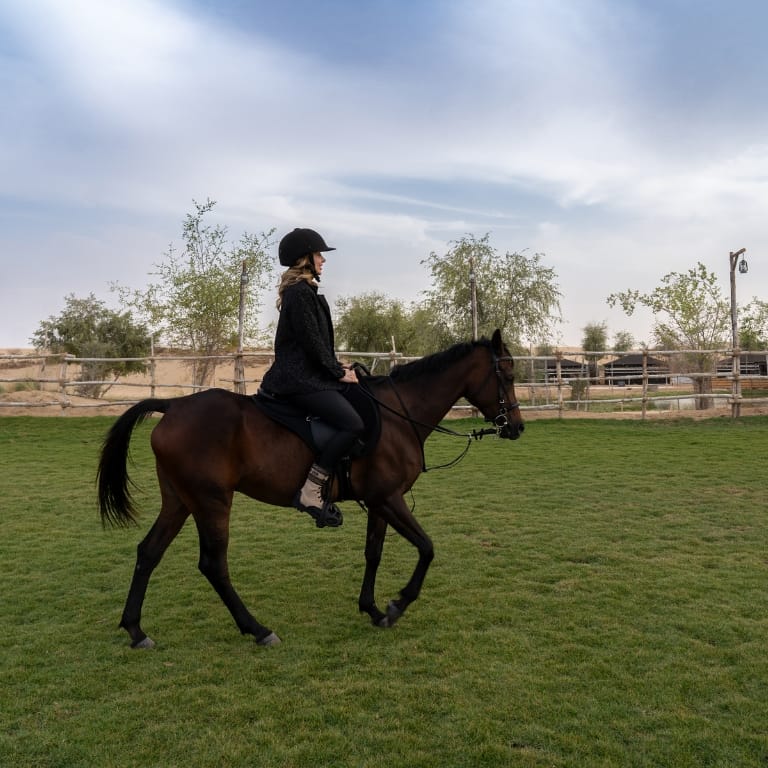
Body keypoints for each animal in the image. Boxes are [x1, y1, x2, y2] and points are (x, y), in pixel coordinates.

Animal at [97, 328, 520, 644]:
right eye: (510, 375)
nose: (516, 427)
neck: (398, 416)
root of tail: (173, 406)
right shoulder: (389, 498)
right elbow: (427, 548)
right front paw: (398, 605)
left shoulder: (379, 501)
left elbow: (374, 553)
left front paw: (372, 609)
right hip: (211, 501)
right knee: (213, 564)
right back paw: (258, 630)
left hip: (180, 501)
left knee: (149, 552)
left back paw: (136, 630)